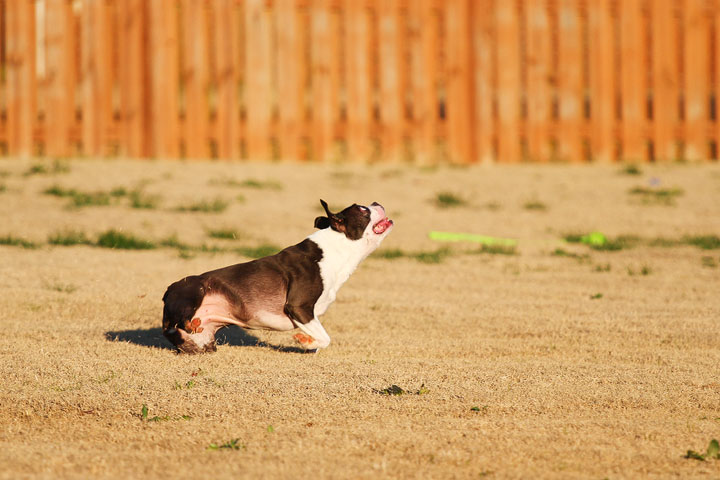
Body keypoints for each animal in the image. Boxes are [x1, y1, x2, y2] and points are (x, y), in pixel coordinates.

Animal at [162, 199, 394, 352]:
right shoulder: (299, 307)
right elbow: (325, 338)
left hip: (203, 344)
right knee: (174, 324)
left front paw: (309, 343)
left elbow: (323, 340)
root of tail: (167, 291)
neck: (337, 248)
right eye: (363, 210)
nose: (376, 202)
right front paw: (304, 340)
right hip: (195, 289)